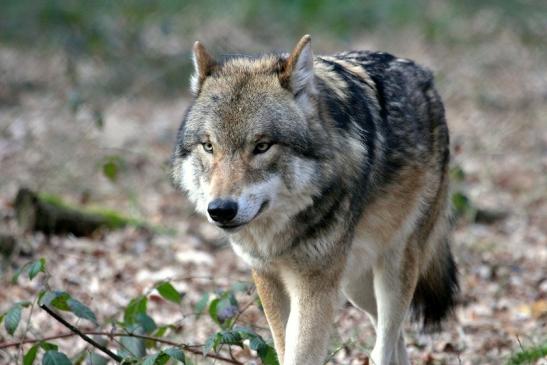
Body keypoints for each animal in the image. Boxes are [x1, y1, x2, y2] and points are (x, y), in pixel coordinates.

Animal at [171, 34, 458, 364]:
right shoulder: (268, 279)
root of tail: (423, 74)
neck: (279, 237)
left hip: (393, 268)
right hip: (355, 285)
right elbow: (283, 348)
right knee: (395, 340)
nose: (220, 210)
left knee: (385, 343)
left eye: (262, 146)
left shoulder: (314, 285)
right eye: (208, 146)